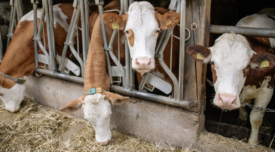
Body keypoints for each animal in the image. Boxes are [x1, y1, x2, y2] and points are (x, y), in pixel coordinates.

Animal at [187, 12, 275, 144]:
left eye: (247, 65)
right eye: (212, 63)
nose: (227, 100)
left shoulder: (267, 89)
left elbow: (256, 118)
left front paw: (253, 143)